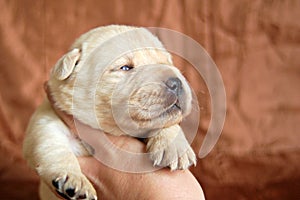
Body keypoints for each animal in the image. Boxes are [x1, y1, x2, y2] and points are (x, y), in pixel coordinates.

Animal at [23, 25, 197, 200]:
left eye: (165, 63)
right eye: (125, 67)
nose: (176, 82)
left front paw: (175, 146)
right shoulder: (46, 121)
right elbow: (54, 147)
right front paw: (74, 180)